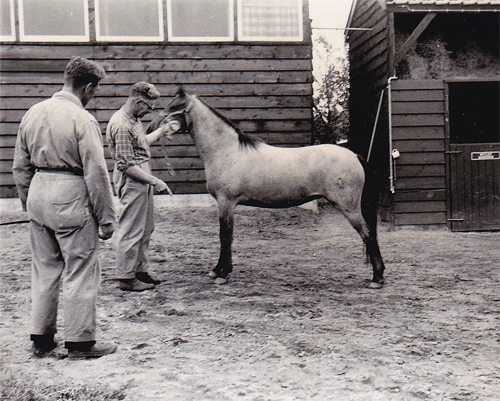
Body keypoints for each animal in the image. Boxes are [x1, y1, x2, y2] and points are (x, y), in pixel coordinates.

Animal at [148, 87, 386, 288]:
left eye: (173, 106)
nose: (151, 128)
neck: (227, 151)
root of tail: (355, 156)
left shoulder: (226, 202)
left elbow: (225, 236)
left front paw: (222, 273)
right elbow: (226, 236)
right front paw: (219, 270)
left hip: (349, 207)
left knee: (368, 234)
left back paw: (377, 278)